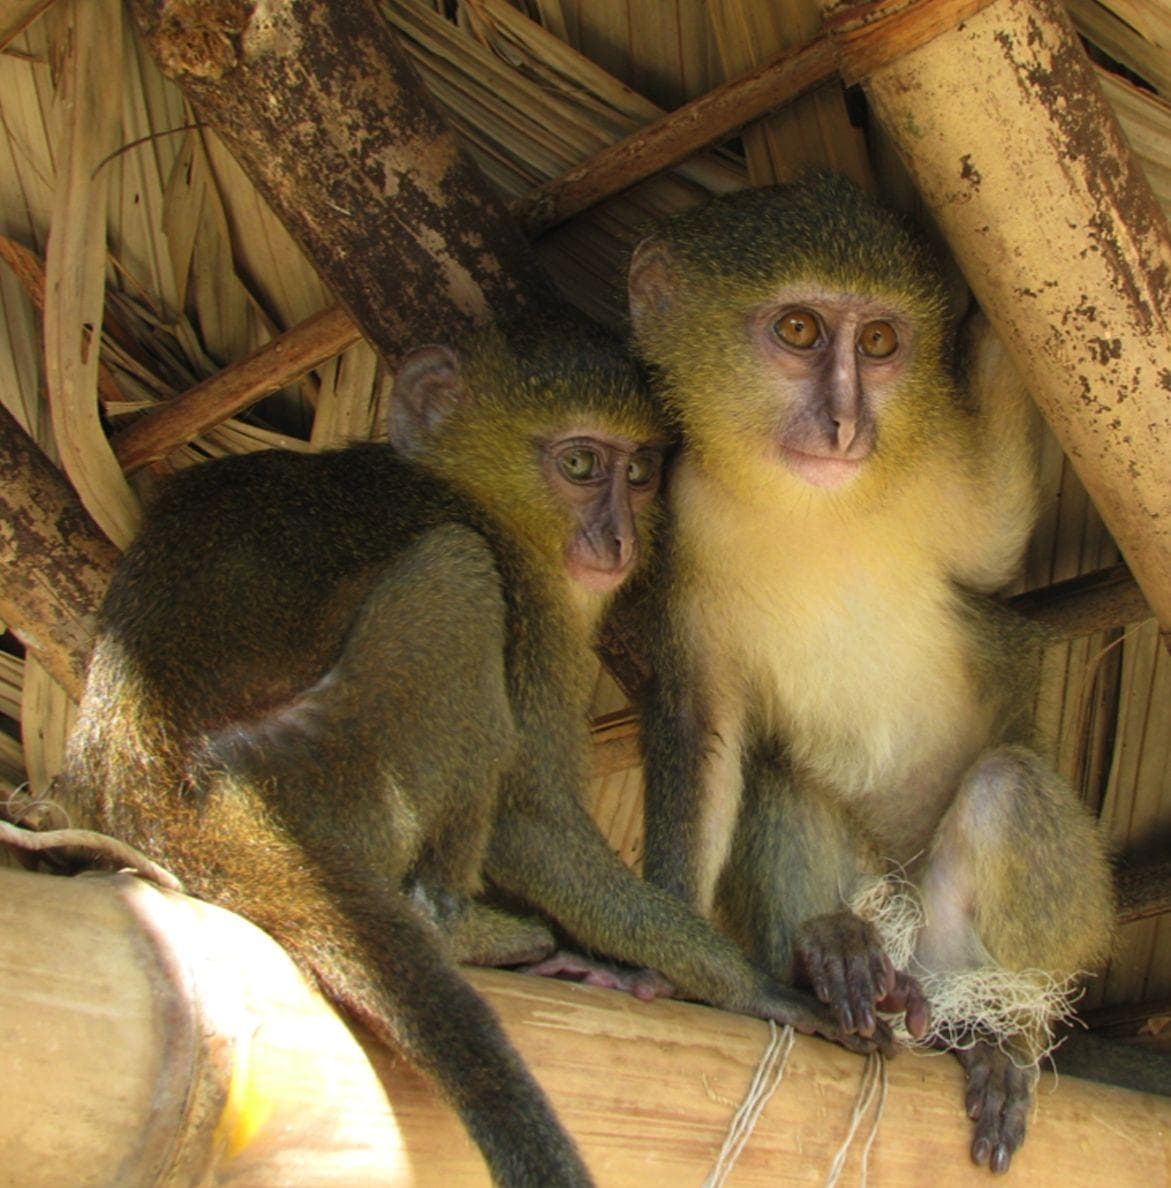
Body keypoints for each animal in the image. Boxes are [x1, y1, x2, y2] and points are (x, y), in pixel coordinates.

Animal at [51, 319, 866, 1187]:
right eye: (581, 465)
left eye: (640, 472)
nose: (616, 538)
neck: (478, 493)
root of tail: (162, 791)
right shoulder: (530, 602)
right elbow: (526, 822)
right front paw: (746, 985)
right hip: (332, 771)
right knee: (454, 573)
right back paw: (462, 929)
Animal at [624, 173, 1115, 1174]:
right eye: (800, 330)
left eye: (881, 343)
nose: (847, 423)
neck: (812, 506)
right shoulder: (678, 532)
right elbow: (702, 727)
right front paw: (678, 965)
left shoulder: (939, 471)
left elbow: (998, 547)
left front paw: (990, 312)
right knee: (782, 778)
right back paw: (833, 957)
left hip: (972, 941)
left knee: (1007, 787)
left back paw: (999, 1039)